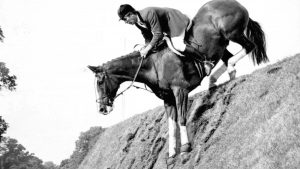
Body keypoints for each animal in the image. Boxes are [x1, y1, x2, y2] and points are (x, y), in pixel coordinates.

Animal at [88, 0, 268, 166]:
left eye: (100, 81)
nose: (102, 109)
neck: (153, 65)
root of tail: (235, 3)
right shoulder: (168, 99)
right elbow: (171, 127)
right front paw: (171, 154)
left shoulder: (180, 90)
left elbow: (181, 118)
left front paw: (186, 147)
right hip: (222, 45)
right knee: (229, 56)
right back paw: (224, 77)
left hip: (232, 33)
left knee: (247, 47)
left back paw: (220, 71)